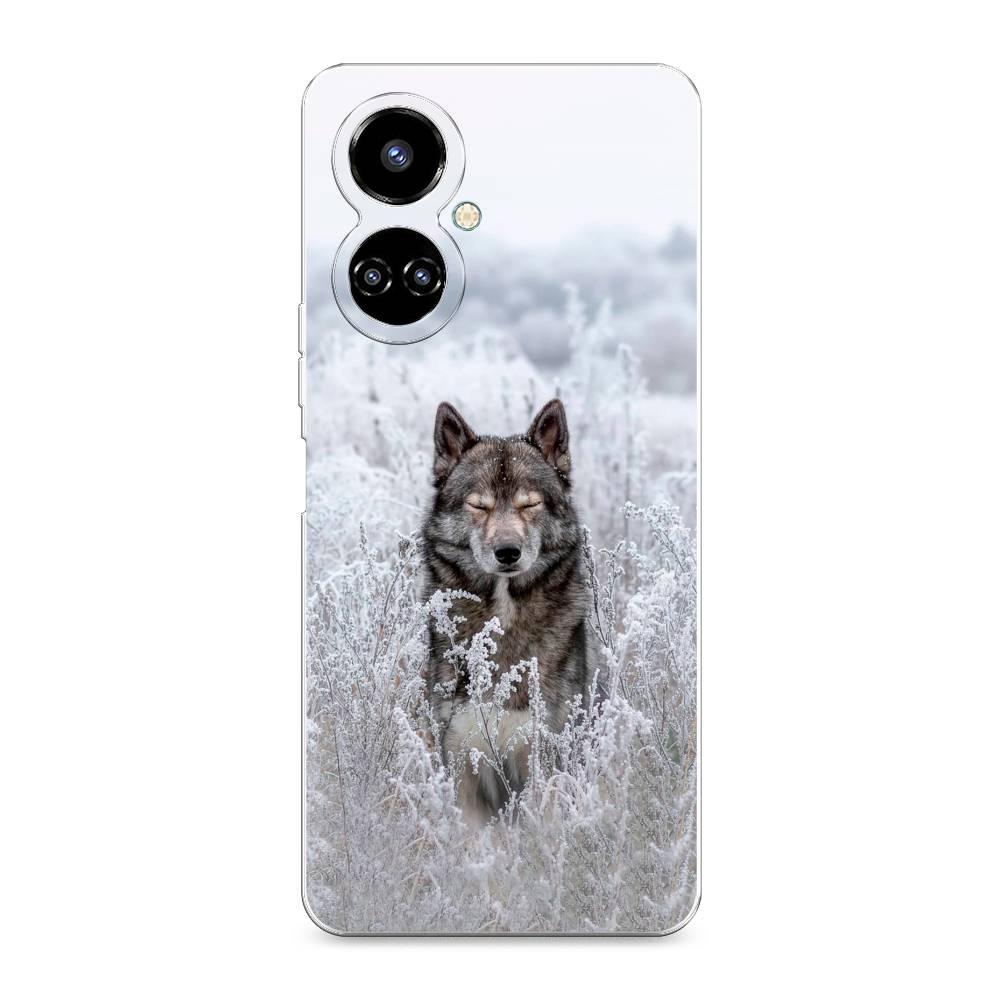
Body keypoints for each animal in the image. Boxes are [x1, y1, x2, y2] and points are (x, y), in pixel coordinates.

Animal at [422, 398, 599, 821]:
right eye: (479, 505)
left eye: (530, 503)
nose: (507, 552)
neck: (503, 618)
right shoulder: (462, 763)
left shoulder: (541, 759)